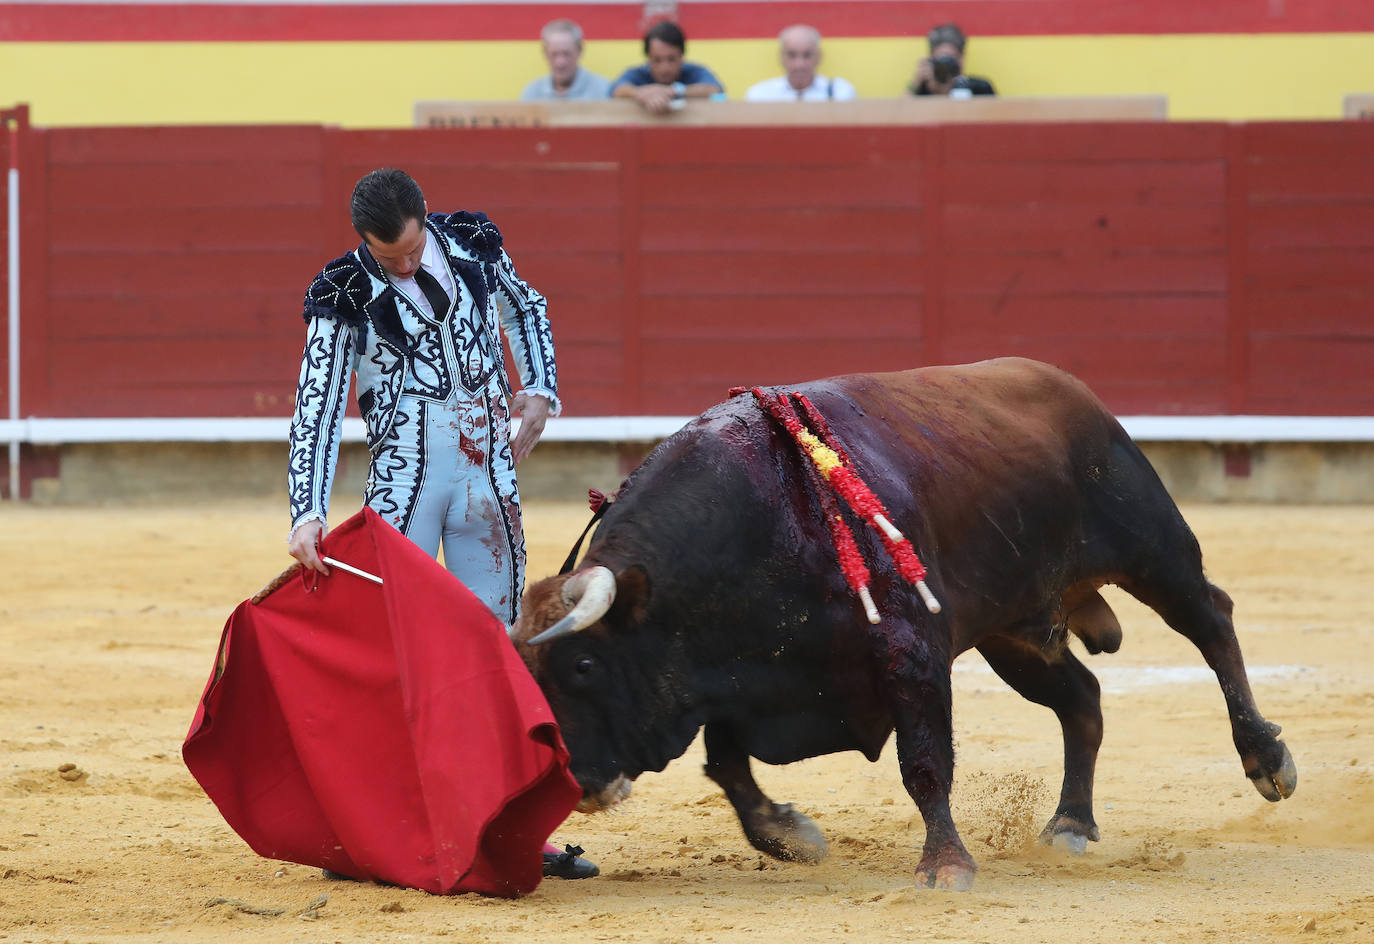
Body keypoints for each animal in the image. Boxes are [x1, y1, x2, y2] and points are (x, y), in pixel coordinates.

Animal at [508, 357, 1297, 890]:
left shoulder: (911, 654)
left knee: (1211, 623)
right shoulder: (738, 682)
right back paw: (1070, 824)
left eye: (583, 665)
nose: (577, 783)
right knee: (1082, 699)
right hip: (1016, 632)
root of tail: (1073, 391)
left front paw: (944, 867)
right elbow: (727, 766)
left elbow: (923, 764)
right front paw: (792, 837)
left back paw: (1267, 760)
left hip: (1152, 550)